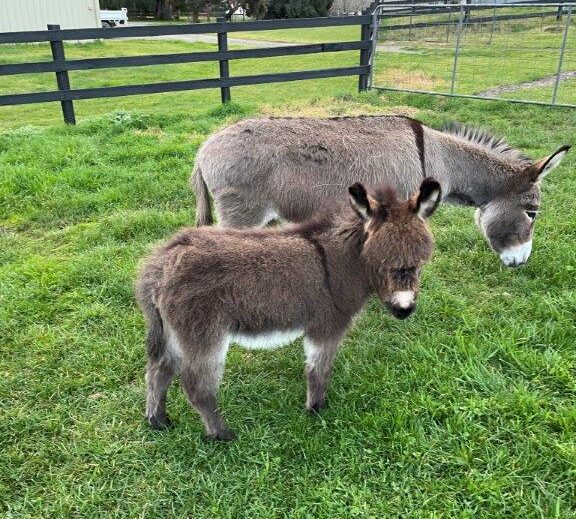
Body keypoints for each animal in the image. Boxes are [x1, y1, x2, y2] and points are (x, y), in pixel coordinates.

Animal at [137, 180, 444, 442]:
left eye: (420, 262)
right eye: (379, 262)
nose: (404, 309)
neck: (339, 262)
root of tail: (162, 262)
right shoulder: (327, 326)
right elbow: (319, 371)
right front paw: (317, 409)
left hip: (175, 331)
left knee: (159, 369)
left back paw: (158, 420)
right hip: (203, 333)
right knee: (197, 387)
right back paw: (221, 434)